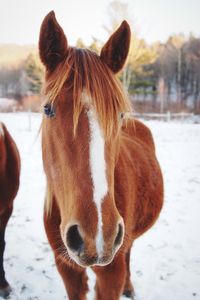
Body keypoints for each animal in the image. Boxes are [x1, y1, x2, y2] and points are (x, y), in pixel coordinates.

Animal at [39, 11, 164, 300]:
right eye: (48, 109)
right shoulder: (67, 270)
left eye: (119, 114)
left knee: (128, 251)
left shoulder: (110, 275)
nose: (95, 236)